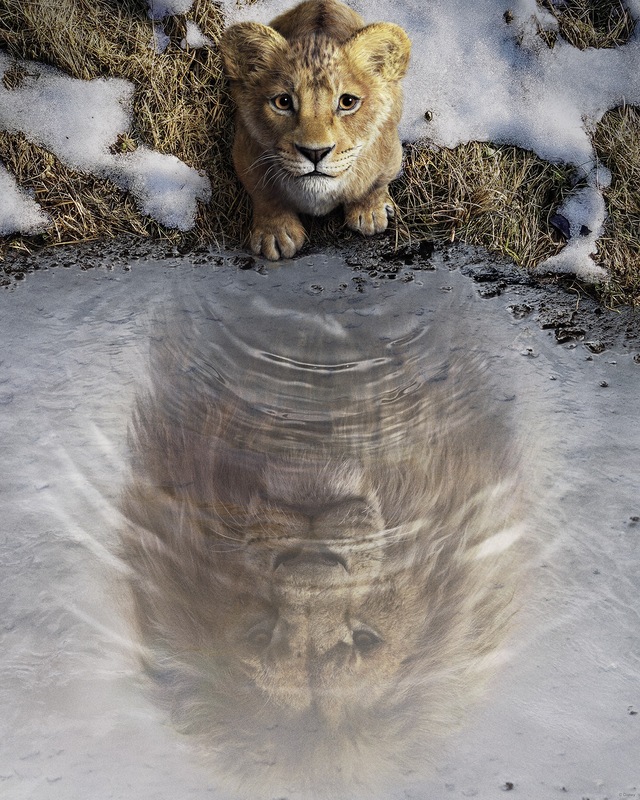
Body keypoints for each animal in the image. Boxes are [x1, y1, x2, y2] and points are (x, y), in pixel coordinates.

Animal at [219, 0, 411, 260]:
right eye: (283, 102)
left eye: (347, 102)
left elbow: (375, 184)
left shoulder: (390, 151)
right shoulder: (245, 151)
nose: (315, 153)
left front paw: (370, 212)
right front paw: (275, 233)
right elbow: (264, 194)